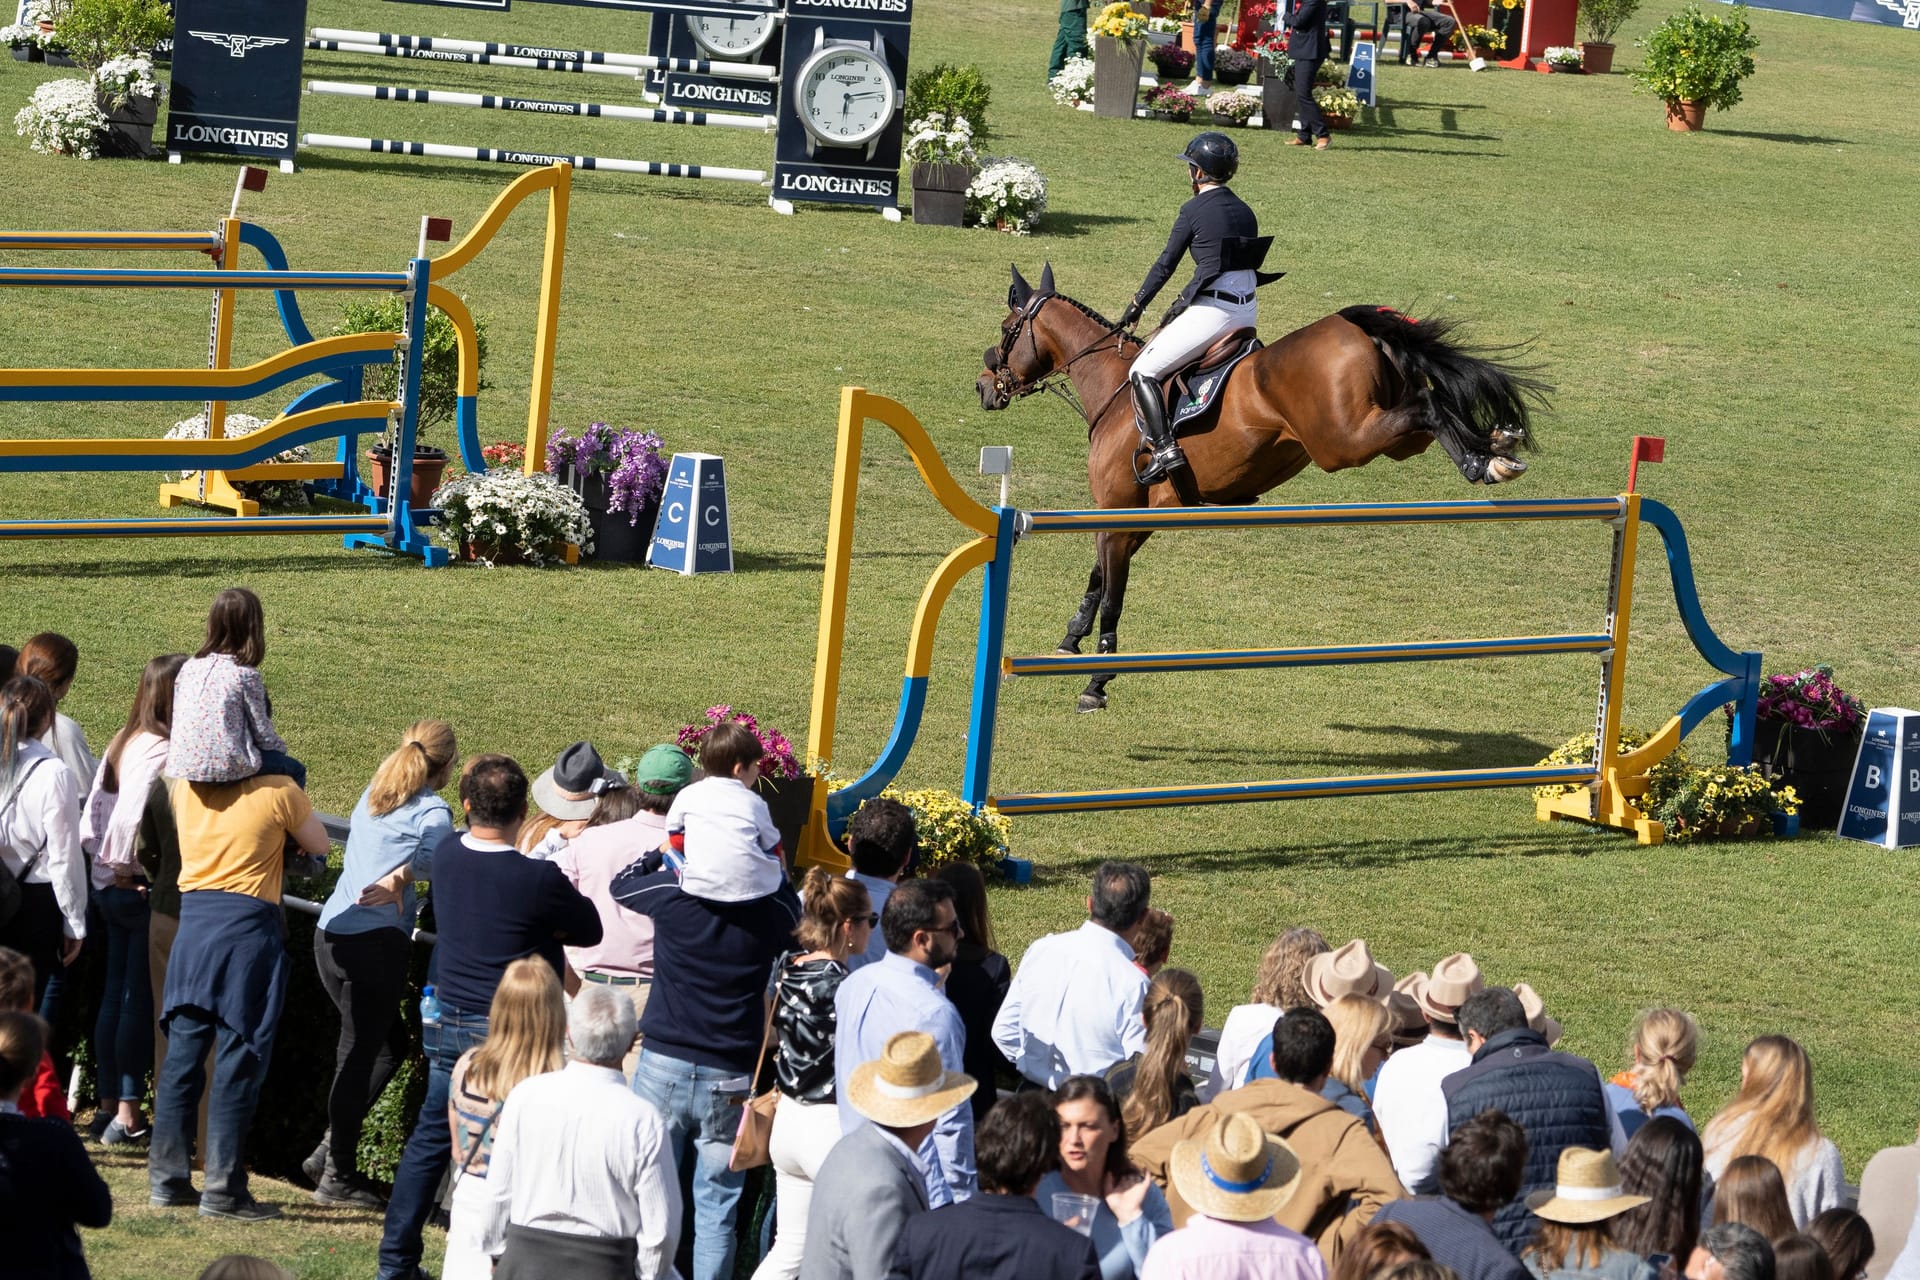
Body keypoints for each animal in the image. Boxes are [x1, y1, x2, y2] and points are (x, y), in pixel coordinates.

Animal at [975, 264, 1543, 717]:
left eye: (1007, 329)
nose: (983, 387)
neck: (1115, 389)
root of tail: (1348, 325)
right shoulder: (1136, 518)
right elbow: (1098, 579)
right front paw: (1071, 638)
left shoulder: (1118, 513)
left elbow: (1113, 594)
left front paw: (1096, 682)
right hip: (1392, 439)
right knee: (1434, 409)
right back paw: (1492, 450)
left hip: (1345, 441)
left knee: (1427, 405)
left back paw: (1488, 458)